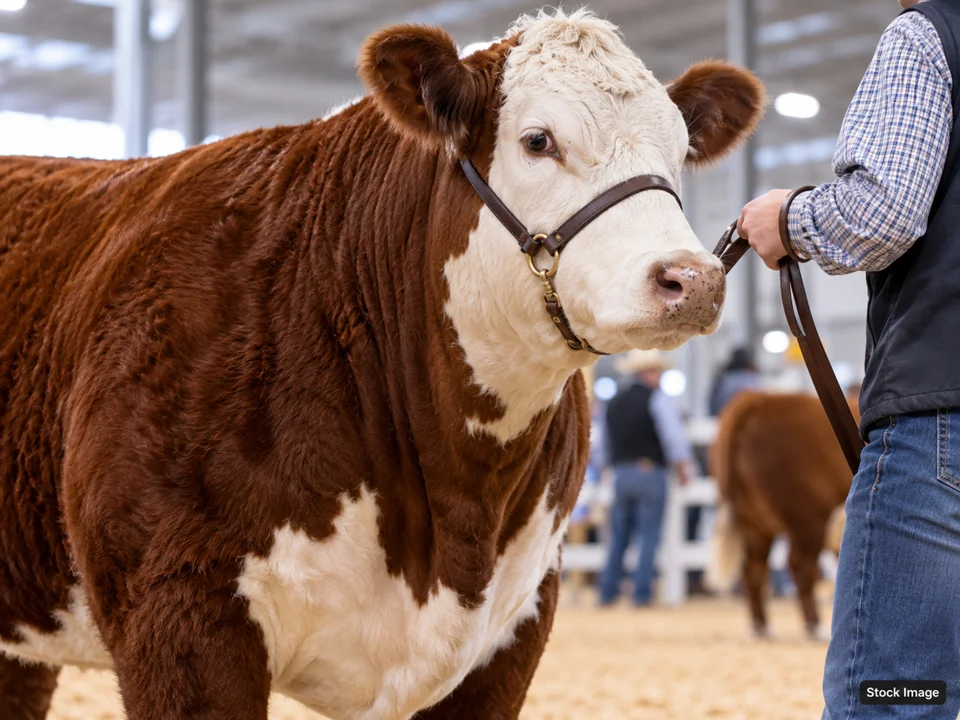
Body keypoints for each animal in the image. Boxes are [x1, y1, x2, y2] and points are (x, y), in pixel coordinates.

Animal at [708, 391, 855, 641]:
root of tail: (758, 399)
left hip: (755, 522)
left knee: (754, 568)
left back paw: (761, 627)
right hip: (806, 517)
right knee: (801, 565)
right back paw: (814, 626)